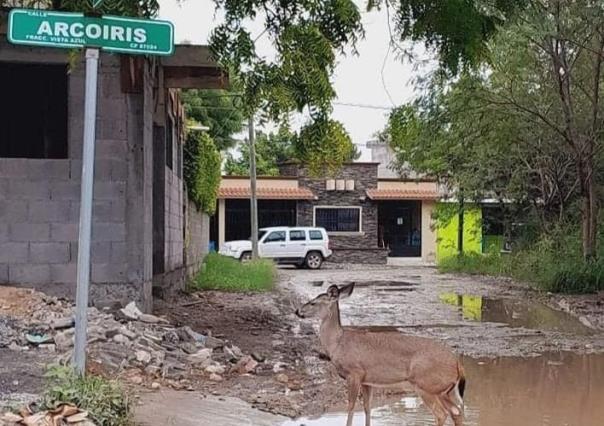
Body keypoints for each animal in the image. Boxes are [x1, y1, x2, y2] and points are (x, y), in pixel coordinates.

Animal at [294, 282, 464, 426]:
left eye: (313, 302)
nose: (297, 311)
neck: (338, 343)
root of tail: (457, 363)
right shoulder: (367, 381)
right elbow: (367, 408)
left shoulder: (354, 373)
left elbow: (351, 407)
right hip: (443, 390)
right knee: (456, 411)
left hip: (426, 384)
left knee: (442, 413)